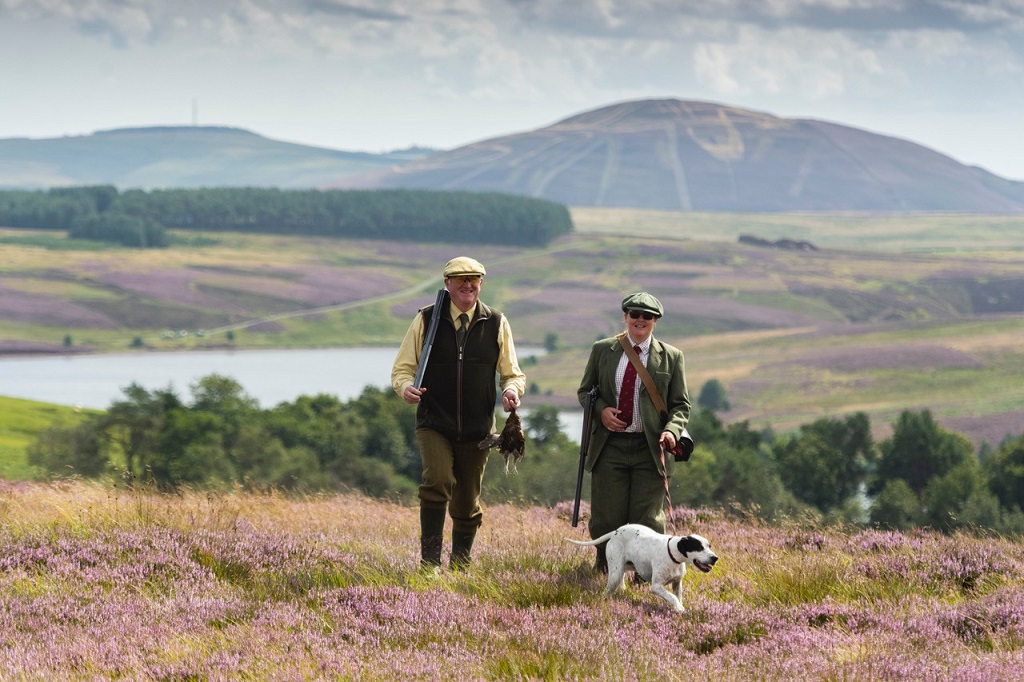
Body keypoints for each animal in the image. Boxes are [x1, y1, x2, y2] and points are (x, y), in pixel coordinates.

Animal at [569, 520, 720, 610]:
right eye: (699, 547)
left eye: (709, 546)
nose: (715, 558)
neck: (673, 554)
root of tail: (616, 531)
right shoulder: (656, 586)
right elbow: (672, 597)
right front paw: (679, 609)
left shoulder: (677, 584)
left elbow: (677, 596)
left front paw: (679, 607)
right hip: (614, 574)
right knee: (608, 589)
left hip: (626, 566)